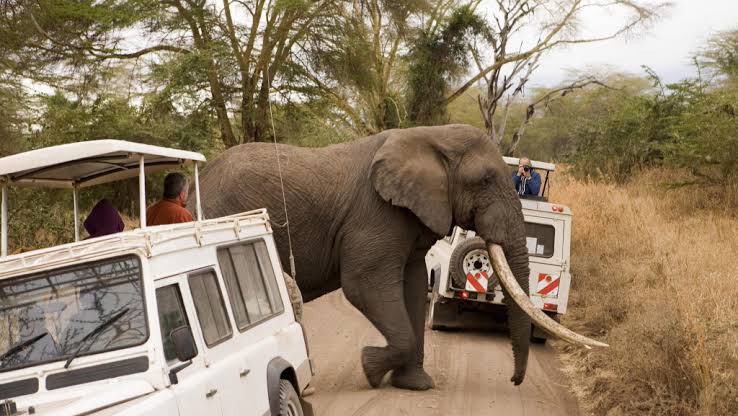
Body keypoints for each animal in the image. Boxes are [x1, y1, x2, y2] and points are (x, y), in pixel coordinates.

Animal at [194, 124, 606, 391]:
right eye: (486, 180)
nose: (515, 380)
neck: (433, 136)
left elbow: (412, 285)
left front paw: (415, 385)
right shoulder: (376, 212)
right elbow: (363, 284)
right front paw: (370, 369)